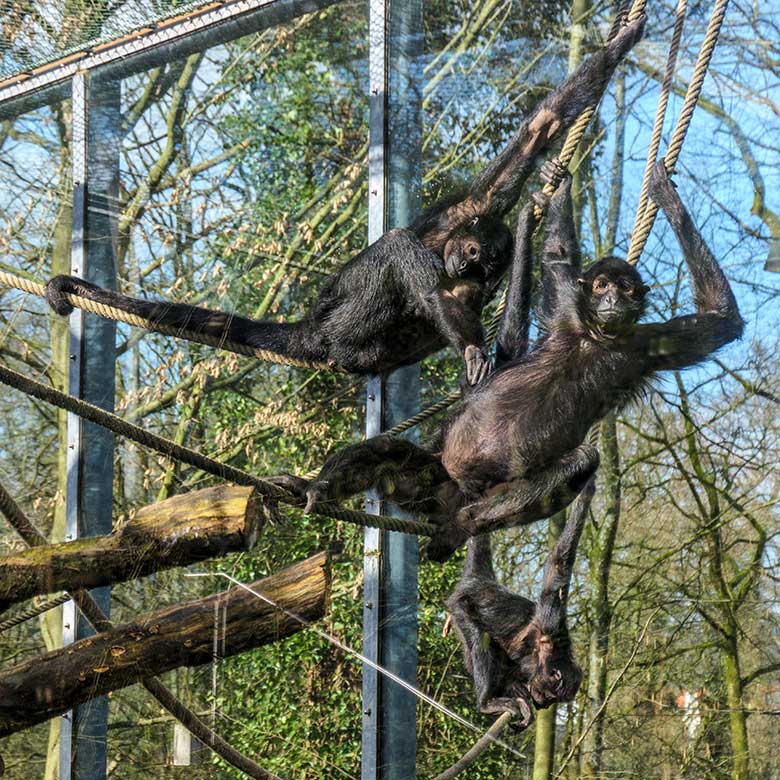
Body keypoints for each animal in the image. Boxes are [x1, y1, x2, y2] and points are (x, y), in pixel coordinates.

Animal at [47, 16, 644, 384]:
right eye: (474, 254)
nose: (470, 268)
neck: (450, 243)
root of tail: (313, 328)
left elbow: (541, 130)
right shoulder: (468, 209)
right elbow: (534, 135)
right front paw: (622, 41)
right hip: (343, 320)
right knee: (397, 252)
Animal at [298, 158, 744, 560]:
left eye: (626, 288)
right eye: (602, 285)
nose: (613, 299)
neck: (595, 338)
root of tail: (455, 494)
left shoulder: (651, 342)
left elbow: (722, 322)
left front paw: (664, 193)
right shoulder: (568, 306)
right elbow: (557, 257)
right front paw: (562, 193)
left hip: (472, 496)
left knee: (578, 461)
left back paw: (460, 528)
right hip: (431, 477)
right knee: (383, 452)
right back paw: (318, 489)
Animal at [444, 482, 592, 724]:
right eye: (552, 697)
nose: (544, 704)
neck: (548, 656)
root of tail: (481, 580)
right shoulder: (550, 623)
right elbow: (558, 567)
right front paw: (586, 494)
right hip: (461, 607)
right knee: (480, 638)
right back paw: (486, 703)